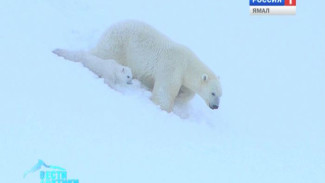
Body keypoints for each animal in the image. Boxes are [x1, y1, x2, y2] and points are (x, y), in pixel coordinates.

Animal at [89, 20, 220, 111]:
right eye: (213, 93)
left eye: (221, 95)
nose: (216, 106)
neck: (187, 64)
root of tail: (111, 28)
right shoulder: (172, 66)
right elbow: (164, 92)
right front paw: (165, 108)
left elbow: (186, 93)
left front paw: (180, 97)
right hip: (119, 46)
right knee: (102, 54)